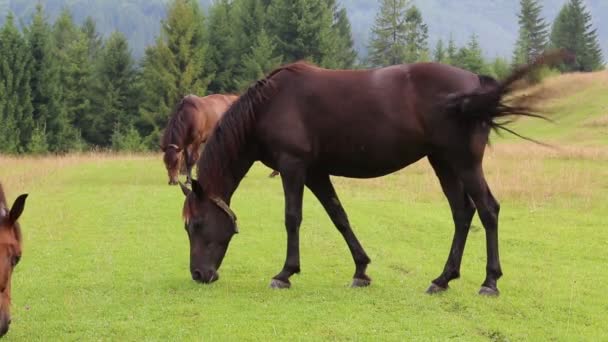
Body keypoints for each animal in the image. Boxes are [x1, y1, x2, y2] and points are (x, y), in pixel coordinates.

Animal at [178, 52, 568, 296]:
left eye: (195, 225)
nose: (198, 275)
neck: (270, 105)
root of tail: (477, 83)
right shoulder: (316, 173)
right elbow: (339, 217)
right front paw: (361, 270)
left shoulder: (294, 168)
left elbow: (292, 218)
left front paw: (285, 274)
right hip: (443, 162)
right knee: (463, 213)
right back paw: (443, 279)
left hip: (464, 162)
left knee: (487, 210)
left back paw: (489, 282)